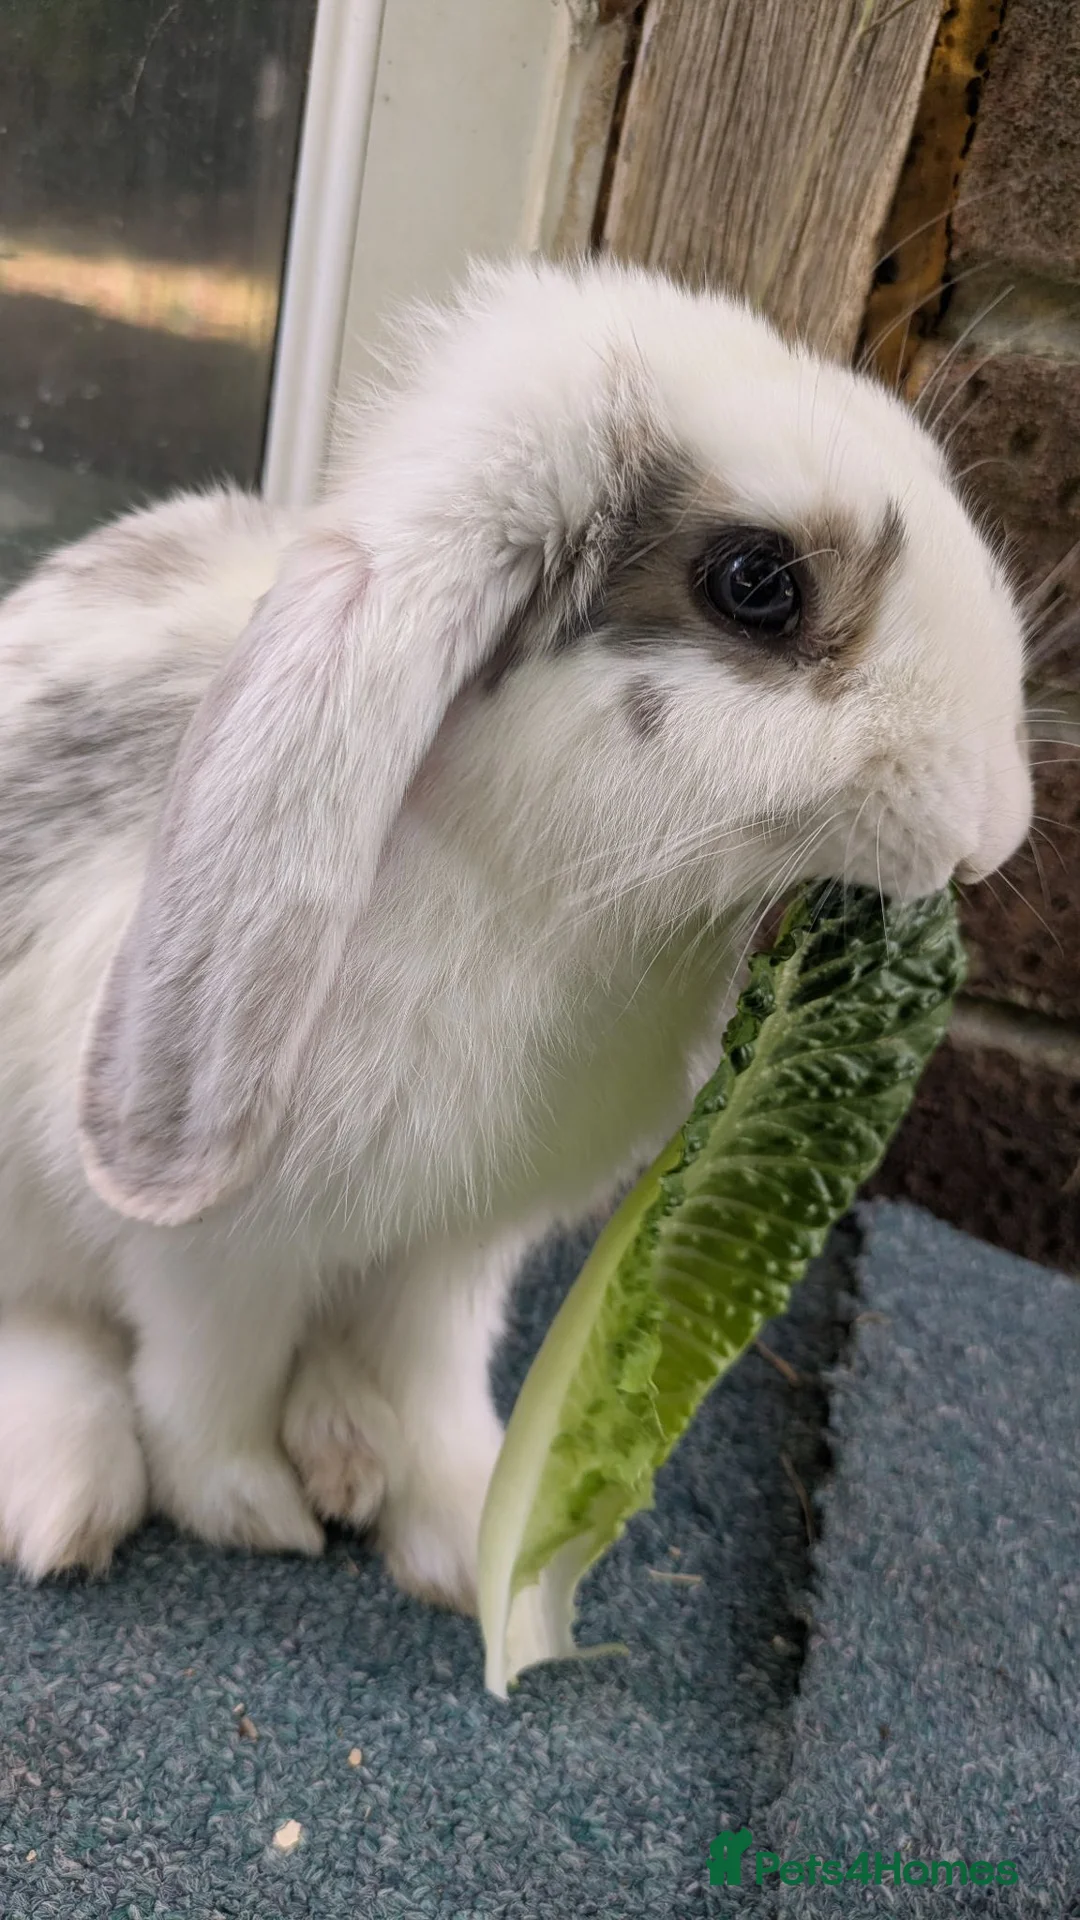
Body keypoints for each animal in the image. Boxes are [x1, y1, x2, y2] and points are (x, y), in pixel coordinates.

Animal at [0, 257, 1032, 1608]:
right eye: (757, 583)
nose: (994, 830)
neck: (532, 898)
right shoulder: (213, 1262)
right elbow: (206, 1387)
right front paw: (251, 1511)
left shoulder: (459, 1249)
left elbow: (432, 1375)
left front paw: (459, 1533)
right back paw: (73, 1495)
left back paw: (342, 1442)